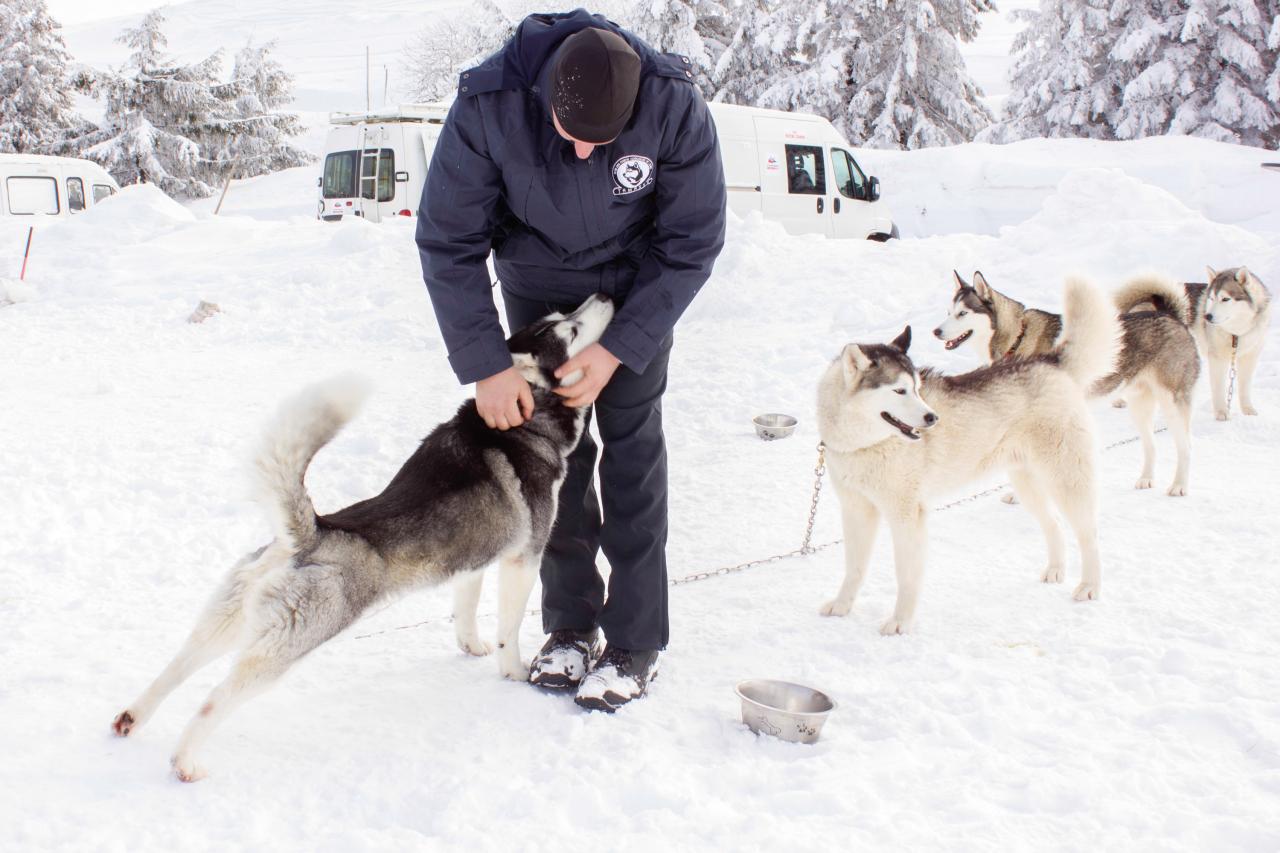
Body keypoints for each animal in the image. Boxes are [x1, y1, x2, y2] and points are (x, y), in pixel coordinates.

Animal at [107, 292, 616, 778]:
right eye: (571, 330)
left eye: (564, 315)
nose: (606, 294)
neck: (526, 420)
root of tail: (311, 533)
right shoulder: (523, 559)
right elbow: (508, 629)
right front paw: (512, 672)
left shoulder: (474, 558)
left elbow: (465, 609)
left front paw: (470, 646)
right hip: (289, 643)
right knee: (215, 696)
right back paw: (185, 761)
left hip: (228, 620)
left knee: (177, 665)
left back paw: (132, 717)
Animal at [819, 279, 1121, 630]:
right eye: (899, 390)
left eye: (918, 389)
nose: (932, 418)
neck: (864, 443)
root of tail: (1049, 362)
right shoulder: (856, 510)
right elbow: (853, 568)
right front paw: (842, 605)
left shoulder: (907, 515)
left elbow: (906, 575)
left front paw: (901, 621)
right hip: (1026, 483)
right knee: (1054, 524)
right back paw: (1056, 570)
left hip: (1066, 480)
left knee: (1090, 535)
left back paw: (1089, 586)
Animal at [931, 268, 1198, 494]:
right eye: (948, 312)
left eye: (962, 313)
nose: (936, 331)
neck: (1018, 337)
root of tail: (1170, 315)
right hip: (1139, 405)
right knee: (1151, 444)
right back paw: (1146, 479)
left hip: (1172, 403)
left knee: (1185, 447)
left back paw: (1180, 485)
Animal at [1182, 266, 1264, 417]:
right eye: (1211, 298)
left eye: (1225, 299)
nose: (1207, 316)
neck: (1236, 333)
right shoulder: (1217, 359)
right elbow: (1219, 388)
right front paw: (1221, 412)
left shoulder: (1249, 357)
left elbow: (1244, 387)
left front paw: (1248, 410)